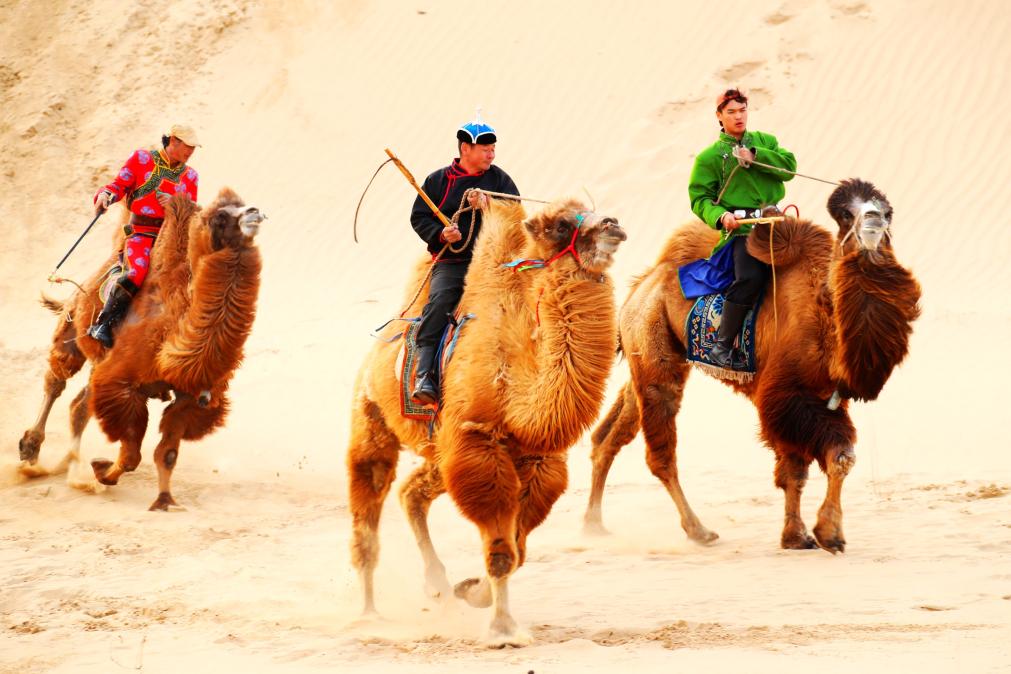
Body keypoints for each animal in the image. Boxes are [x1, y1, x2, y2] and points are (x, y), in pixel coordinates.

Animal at [18, 189, 265, 511]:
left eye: (242, 204)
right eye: (221, 216)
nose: (254, 212)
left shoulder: (188, 398)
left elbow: (167, 454)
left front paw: (164, 501)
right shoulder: (123, 384)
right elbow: (132, 453)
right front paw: (102, 471)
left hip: (98, 361)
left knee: (79, 405)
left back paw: (69, 466)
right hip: (72, 328)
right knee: (56, 381)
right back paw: (31, 450)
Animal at [347, 196, 626, 646]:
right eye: (561, 224)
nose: (612, 224)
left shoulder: (536, 460)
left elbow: (518, 549)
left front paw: (471, 592)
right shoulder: (478, 447)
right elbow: (501, 551)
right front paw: (502, 629)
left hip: (441, 450)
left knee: (411, 492)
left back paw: (437, 586)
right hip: (371, 416)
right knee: (368, 503)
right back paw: (370, 614)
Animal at [583, 179, 920, 553]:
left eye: (888, 212)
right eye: (847, 214)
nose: (873, 219)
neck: (826, 317)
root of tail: (641, 285)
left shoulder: (823, 396)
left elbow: (826, 461)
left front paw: (807, 535)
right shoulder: (784, 396)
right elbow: (810, 466)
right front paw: (817, 534)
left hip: (646, 357)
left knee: (612, 432)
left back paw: (594, 523)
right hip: (653, 343)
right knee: (660, 452)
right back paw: (698, 530)